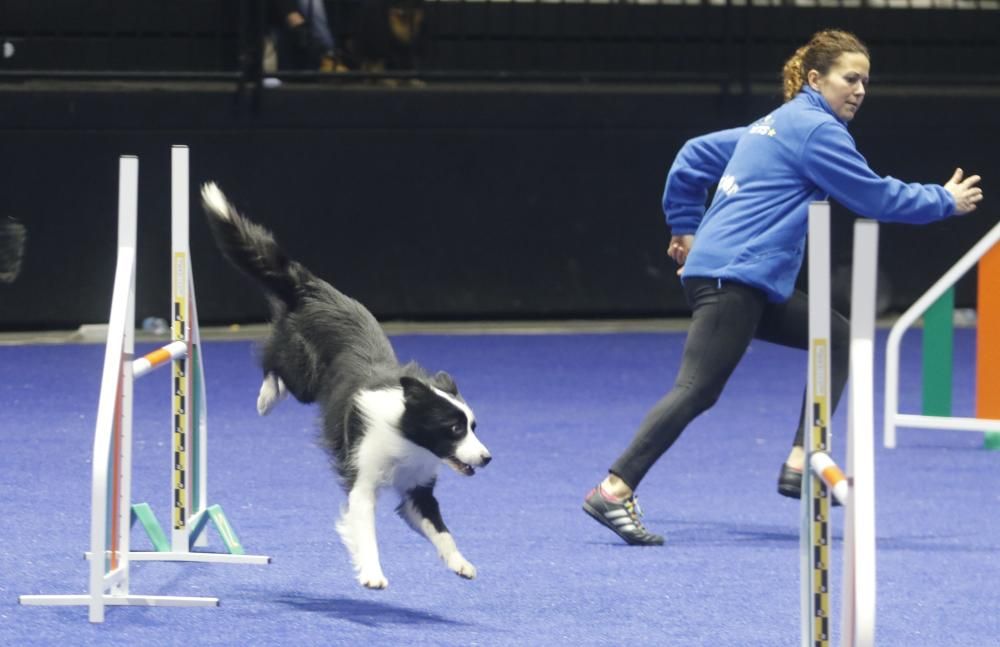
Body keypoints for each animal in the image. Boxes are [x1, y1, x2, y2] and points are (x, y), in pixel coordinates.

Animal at [200, 184, 492, 592]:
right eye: (453, 428)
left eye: (473, 427)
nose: (487, 458)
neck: (405, 431)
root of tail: (313, 286)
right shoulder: (363, 476)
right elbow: (365, 529)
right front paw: (372, 574)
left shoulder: (417, 488)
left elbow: (440, 529)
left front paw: (460, 563)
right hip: (304, 372)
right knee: (274, 364)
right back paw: (265, 398)